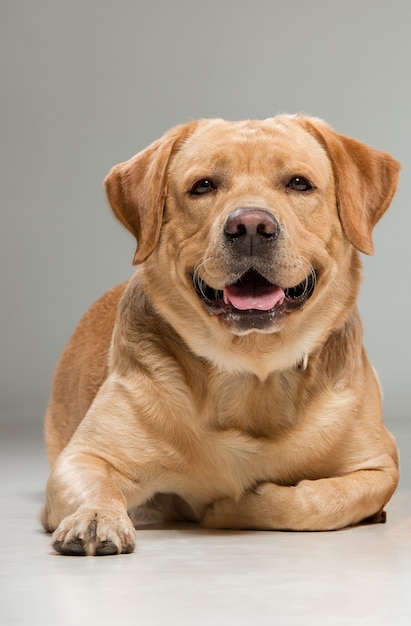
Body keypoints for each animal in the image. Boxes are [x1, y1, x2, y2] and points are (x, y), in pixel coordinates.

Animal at [41, 117, 402, 556]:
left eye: (299, 183)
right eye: (203, 186)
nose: (251, 226)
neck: (252, 371)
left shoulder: (380, 467)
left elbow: (319, 500)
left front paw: (238, 506)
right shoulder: (83, 457)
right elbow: (96, 483)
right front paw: (95, 516)